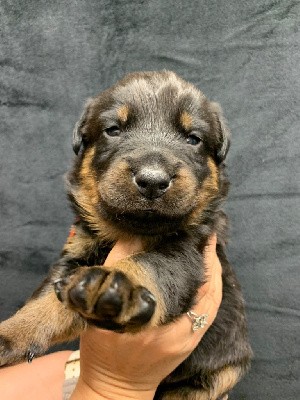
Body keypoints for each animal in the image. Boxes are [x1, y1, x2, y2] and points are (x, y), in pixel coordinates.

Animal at [0, 72, 253, 400]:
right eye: (113, 130)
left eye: (193, 138)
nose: (153, 180)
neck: (133, 229)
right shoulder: (78, 249)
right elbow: (44, 299)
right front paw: (11, 332)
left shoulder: (188, 251)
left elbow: (147, 264)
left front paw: (117, 285)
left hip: (218, 374)